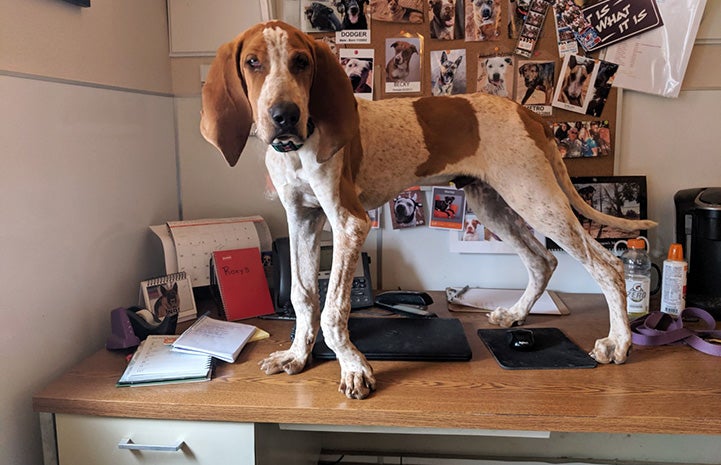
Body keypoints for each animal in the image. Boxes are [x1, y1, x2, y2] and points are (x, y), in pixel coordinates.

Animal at [200, 21, 656, 398]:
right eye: (253, 62)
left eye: (301, 62)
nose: (284, 116)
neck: (299, 149)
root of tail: (529, 114)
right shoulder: (302, 221)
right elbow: (303, 295)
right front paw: (296, 355)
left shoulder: (348, 223)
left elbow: (333, 310)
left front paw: (353, 367)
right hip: (492, 203)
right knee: (543, 260)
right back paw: (515, 315)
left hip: (536, 198)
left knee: (607, 266)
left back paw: (618, 343)